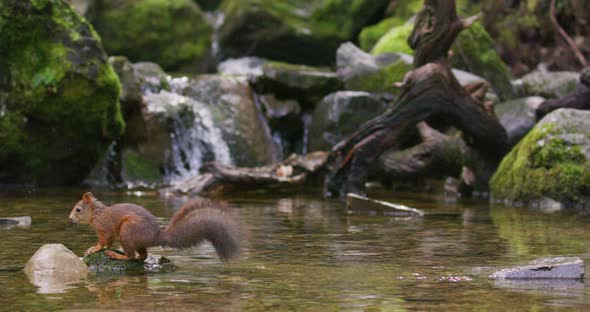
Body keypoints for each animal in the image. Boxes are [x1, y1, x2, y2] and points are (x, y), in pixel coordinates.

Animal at [70, 191, 242, 262]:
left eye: (78, 209)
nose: (70, 218)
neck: (97, 213)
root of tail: (156, 236)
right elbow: (109, 242)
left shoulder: (104, 228)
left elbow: (103, 242)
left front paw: (94, 249)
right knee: (142, 256)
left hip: (127, 231)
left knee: (131, 256)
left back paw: (117, 255)